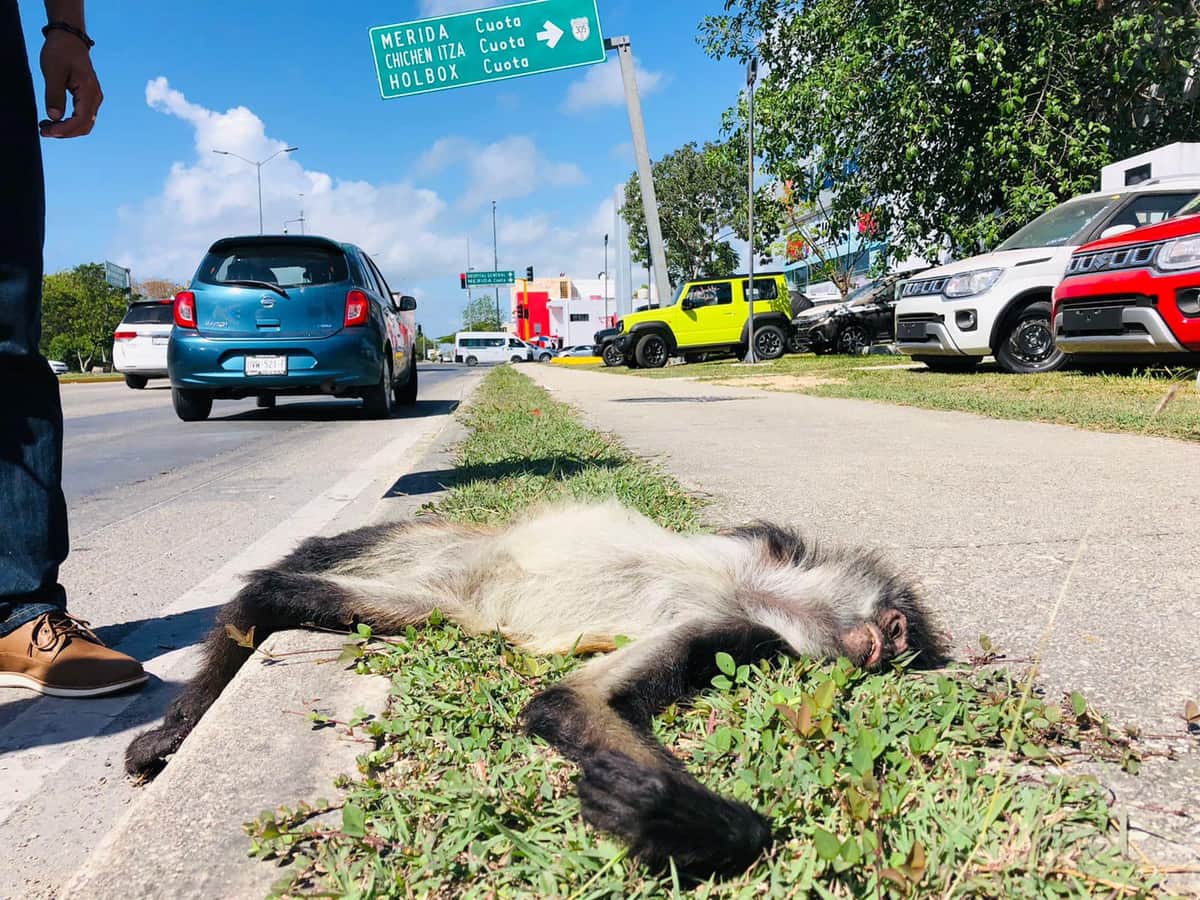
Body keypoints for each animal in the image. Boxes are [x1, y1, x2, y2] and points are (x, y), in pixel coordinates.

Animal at [125, 500, 947, 880]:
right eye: (899, 631)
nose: (886, 648)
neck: (761, 592)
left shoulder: (727, 627)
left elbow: (564, 704)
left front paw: (666, 816)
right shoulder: (762, 547)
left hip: (431, 604)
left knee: (278, 598)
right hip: (426, 544)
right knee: (280, 582)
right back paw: (178, 725)